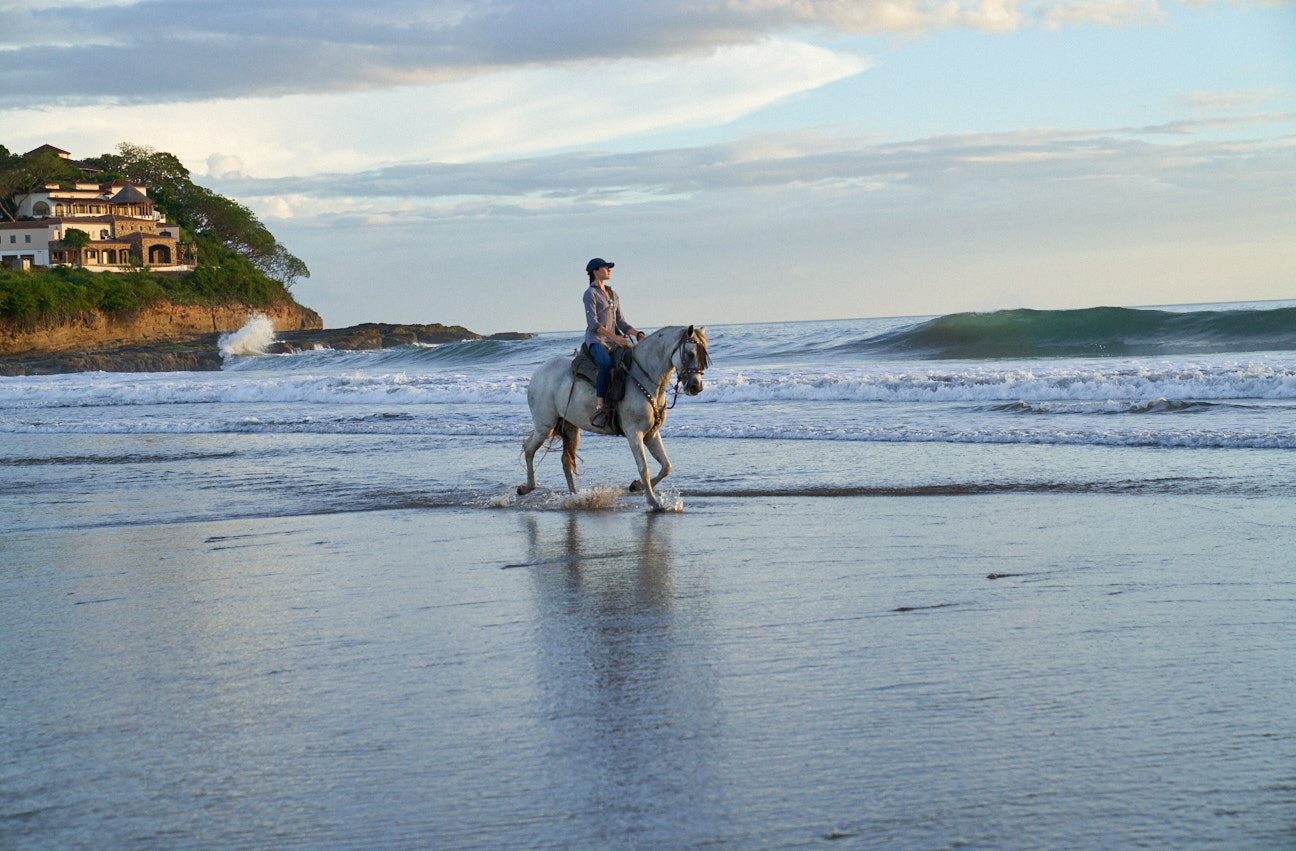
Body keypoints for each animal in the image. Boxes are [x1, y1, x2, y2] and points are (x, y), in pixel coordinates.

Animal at [518, 323, 710, 510]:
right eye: (691, 353)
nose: (696, 387)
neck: (644, 377)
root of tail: (537, 373)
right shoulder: (634, 434)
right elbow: (644, 468)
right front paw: (653, 502)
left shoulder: (651, 434)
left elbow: (666, 466)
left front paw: (636, 486)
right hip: (545, 426)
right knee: (529, 449)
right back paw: (526, 488)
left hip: (571, 428)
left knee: (566, 460)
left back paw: (574, 498)